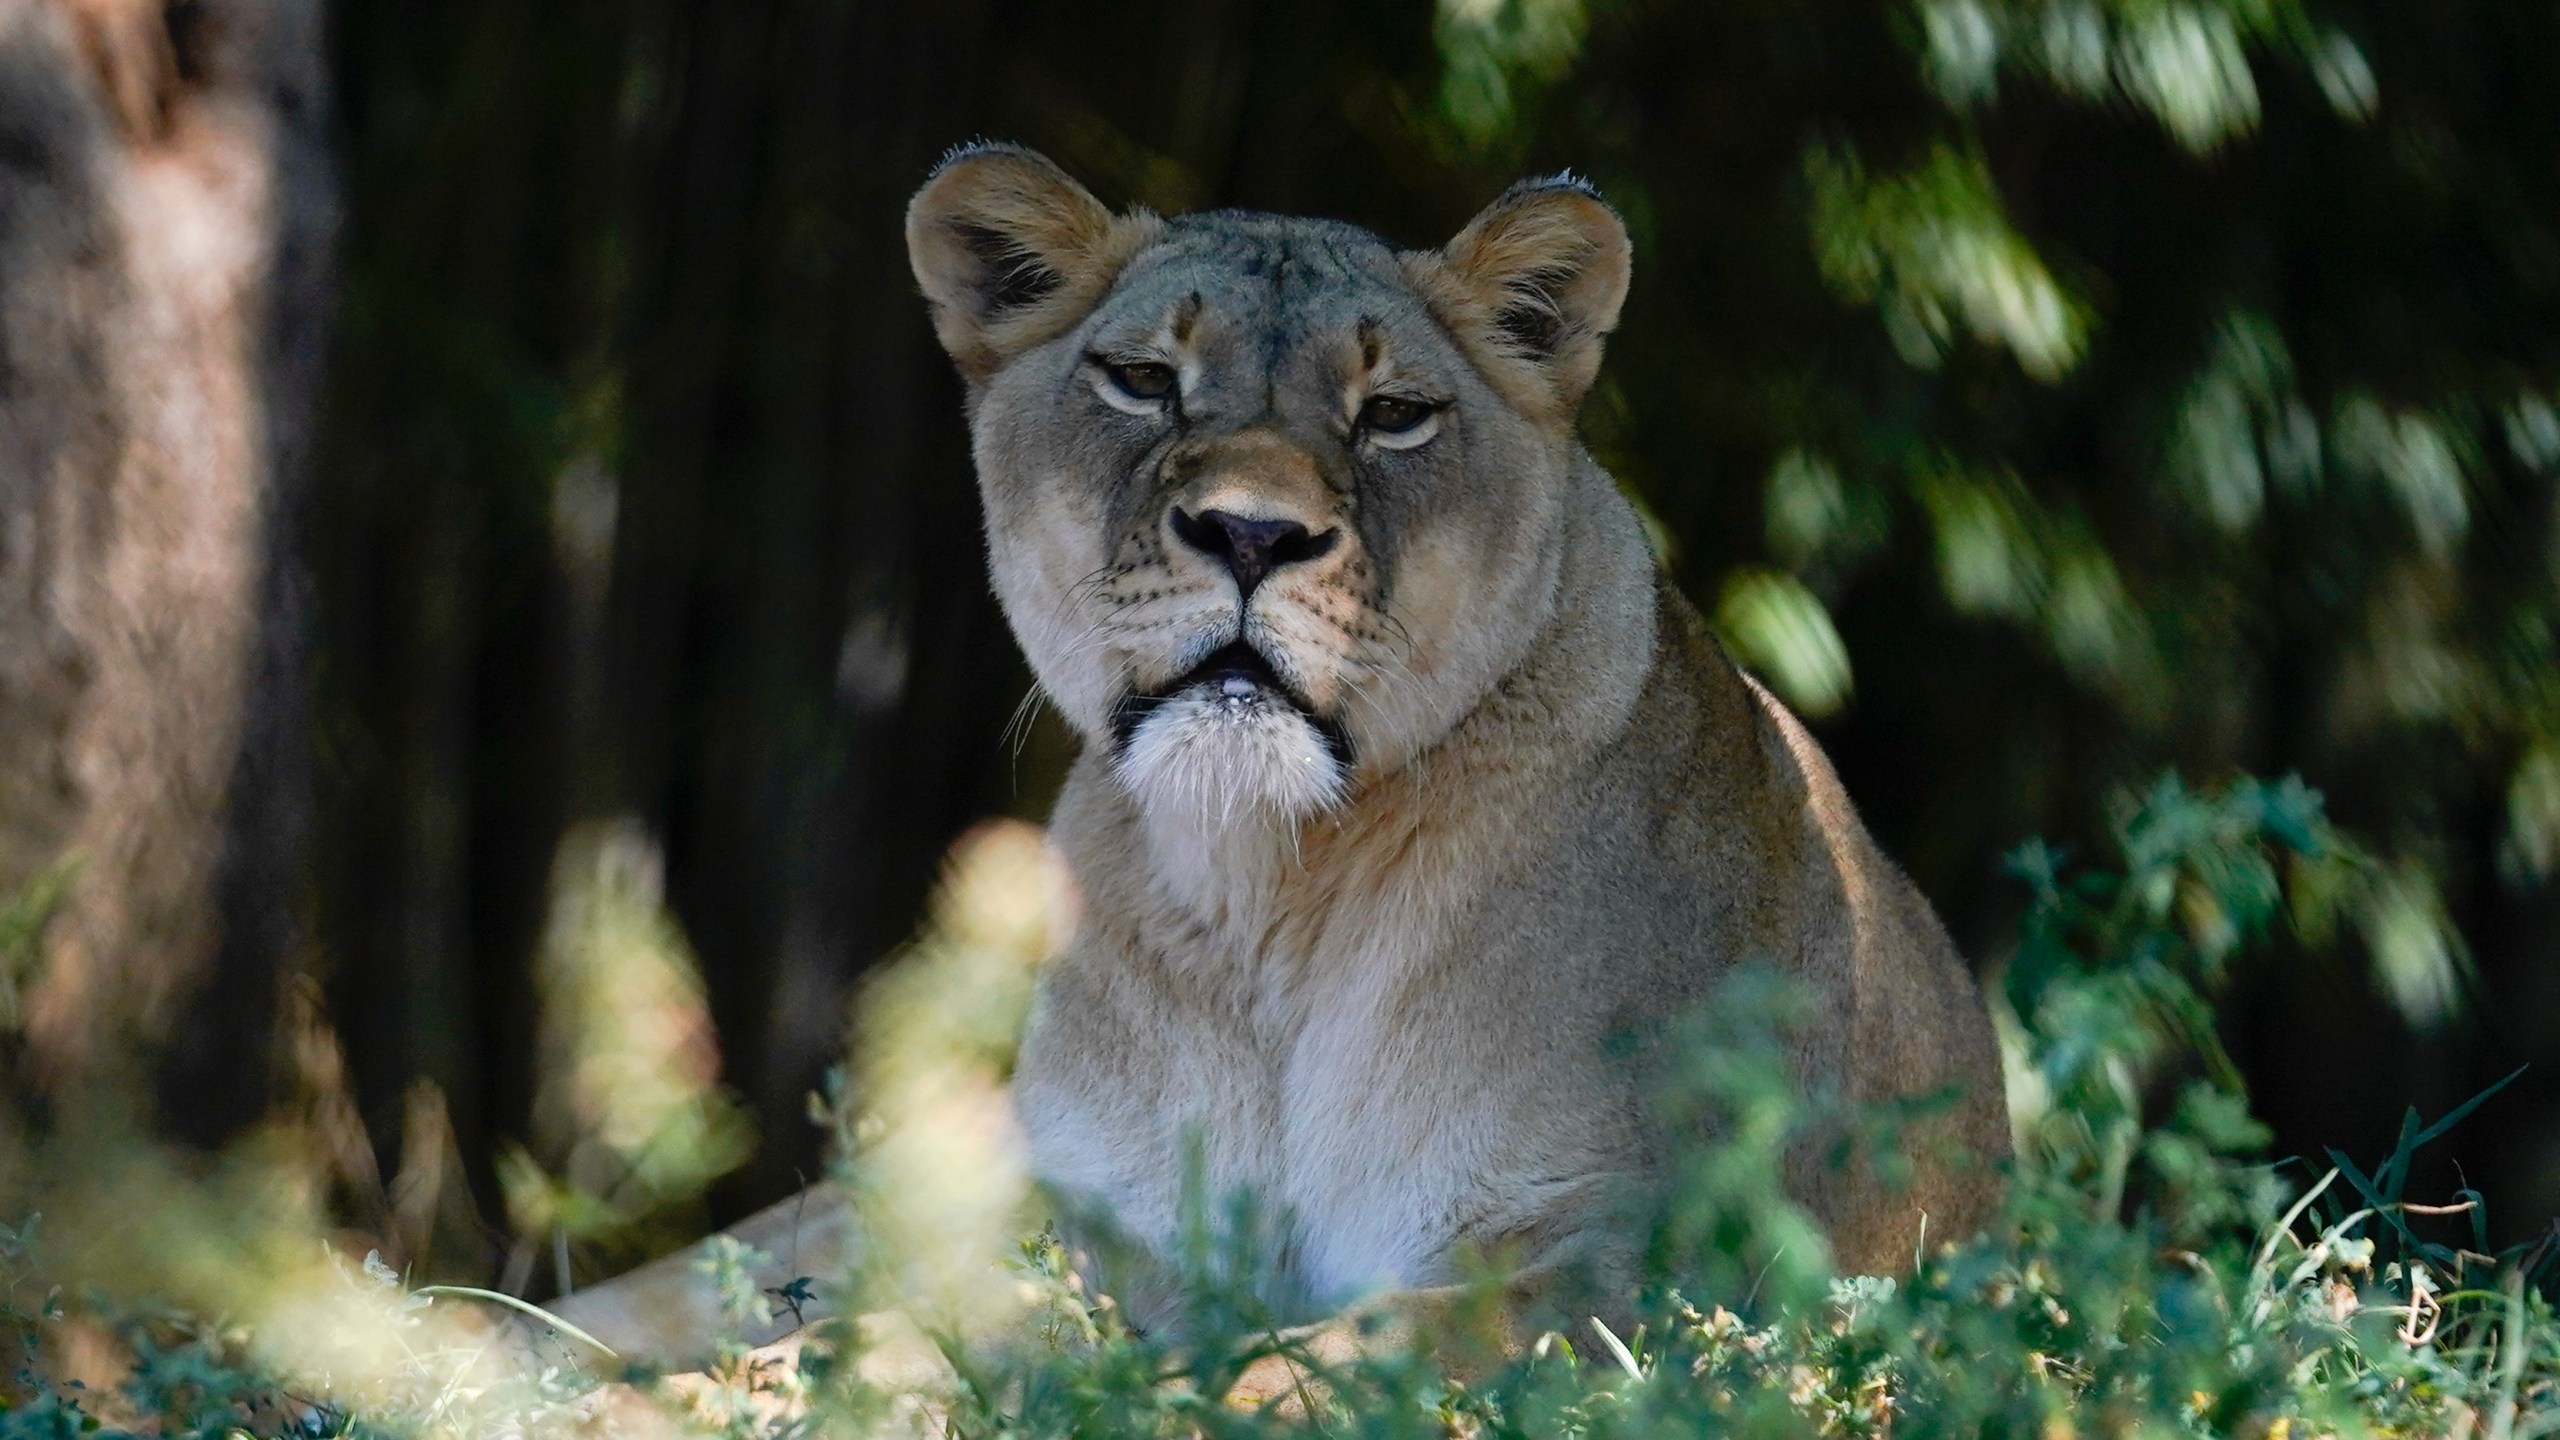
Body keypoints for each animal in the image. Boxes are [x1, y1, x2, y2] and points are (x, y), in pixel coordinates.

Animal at [541, 145, 2009, 1373]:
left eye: (1396, 414)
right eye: (1143, 380)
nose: (1251, 533)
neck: (1268, 890)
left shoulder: (1641, 1261)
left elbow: (1308, 1363)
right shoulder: (1094, 1233)